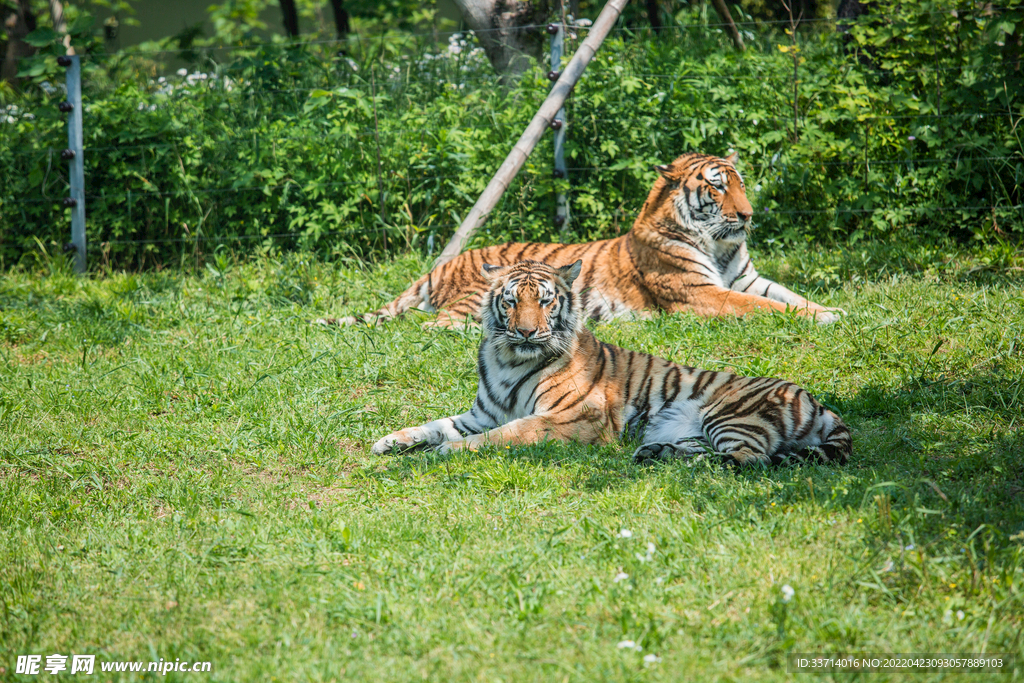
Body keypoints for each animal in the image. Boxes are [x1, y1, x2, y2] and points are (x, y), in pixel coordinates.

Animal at [319, 151, 843, 329]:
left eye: (740, 184)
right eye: (716, 187)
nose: (748, 215)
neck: (718, 243)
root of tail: (441, 265)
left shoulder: (747, 279)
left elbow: (788, 295)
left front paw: (832, 310)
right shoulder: (703, 294)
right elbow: (767, 308)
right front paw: (824, 318)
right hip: (473, 299)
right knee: (432, 324)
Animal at [371, 259, 852, 467]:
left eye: (544, 301)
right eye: (510, 301)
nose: (526, 332)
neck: (507, 359)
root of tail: (820, 403)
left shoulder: (572, 416)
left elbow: (507, 434)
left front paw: (447, 451)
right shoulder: (480, 414)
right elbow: (434, 423)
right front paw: (389, 441)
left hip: (730, 414)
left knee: (749, 460)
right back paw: (654, 453)